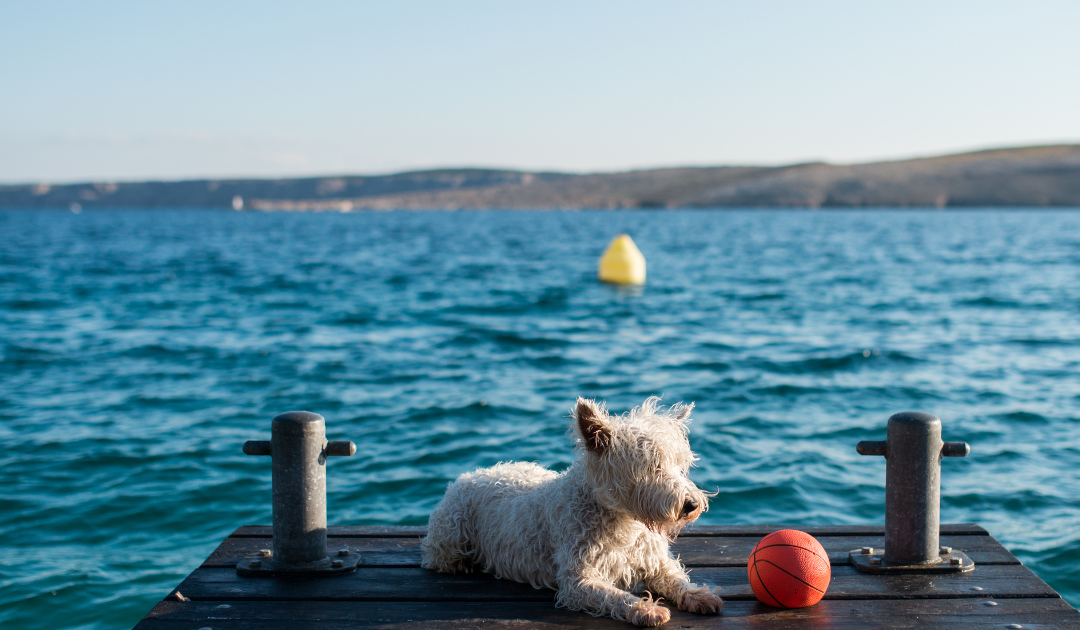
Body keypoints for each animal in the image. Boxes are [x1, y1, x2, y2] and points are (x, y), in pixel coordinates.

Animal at [421, 397, 725, 622]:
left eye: (679, 463)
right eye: (651, 466)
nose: (691, 505)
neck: (621, 519)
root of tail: (467, 476)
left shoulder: (656, 562)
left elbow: (676, 579)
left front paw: (699, 595)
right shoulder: (579, 581)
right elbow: (613, 597)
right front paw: (644, 608)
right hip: (452, 531)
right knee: (437, 555)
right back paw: (460, 564)